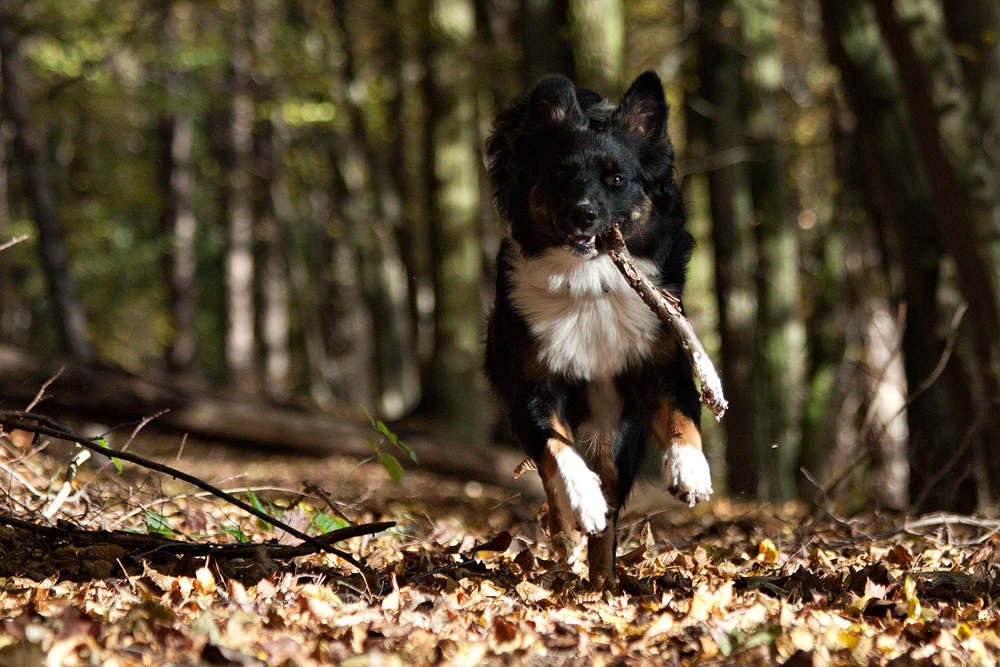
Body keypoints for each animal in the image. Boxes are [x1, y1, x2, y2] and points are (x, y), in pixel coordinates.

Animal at [484, 70, 712, 588]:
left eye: (617, 179)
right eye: (561, 174)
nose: (584, 214)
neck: (589, 284)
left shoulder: (663, 367)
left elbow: (682, 417)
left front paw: (690, 471)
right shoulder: (533, 391)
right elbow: (558, 452)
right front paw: (582, 500)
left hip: (615, 436)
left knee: (607, 523)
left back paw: (602, 584)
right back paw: (569, 531)